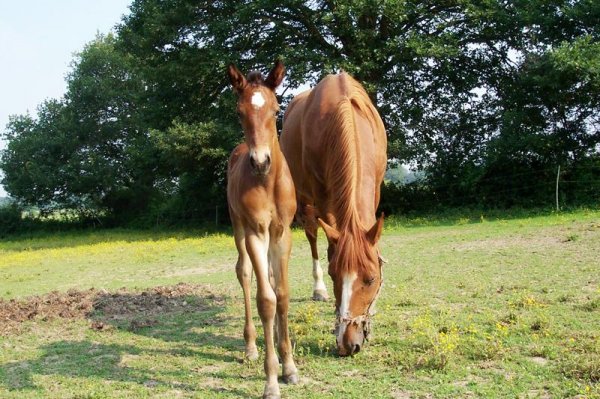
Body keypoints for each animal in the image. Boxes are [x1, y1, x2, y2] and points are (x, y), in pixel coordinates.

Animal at [282, 71, 390, 356]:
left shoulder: (376, 187)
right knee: (312, 237)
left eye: (371, 279)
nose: (348, 344)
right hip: (306, 201)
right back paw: (318, 289)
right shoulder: (321, 195)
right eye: (334, 275)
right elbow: (329, 248)